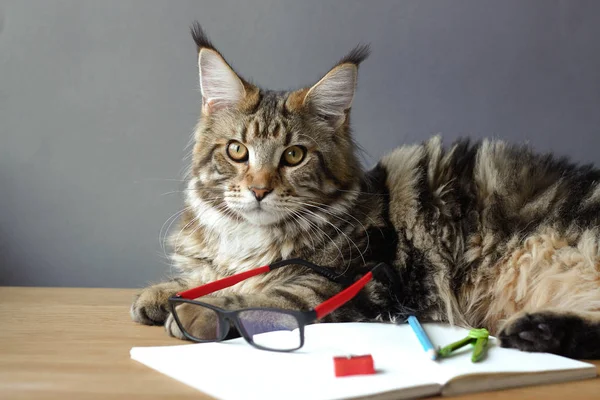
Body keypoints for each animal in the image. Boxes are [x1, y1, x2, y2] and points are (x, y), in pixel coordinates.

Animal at [132, 22, 600, 360]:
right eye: (237, 151)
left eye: (294, 155)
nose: (259, 190)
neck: (250, 238)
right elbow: (203, 277)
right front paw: (160, 294)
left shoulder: (347, 282)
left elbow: (260, 294)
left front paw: (195, 312)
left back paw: (532, 332)